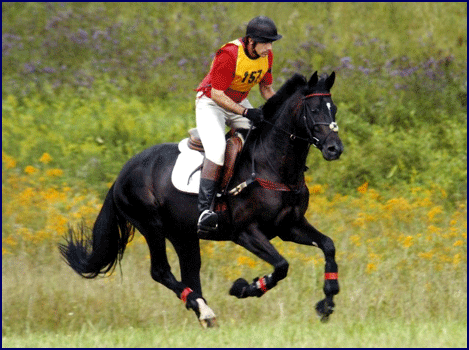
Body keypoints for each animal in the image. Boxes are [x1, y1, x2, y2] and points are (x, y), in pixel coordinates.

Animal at [59, 72, 344, 328]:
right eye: (314, 110)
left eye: (334, 109)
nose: (335, 149)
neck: (272, 165)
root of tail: (122, 174)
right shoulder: (246, 232)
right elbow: (282, 265)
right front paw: (245, 288)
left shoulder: (289, 226)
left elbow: (328, 245)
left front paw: (327, 302)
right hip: (152, 226)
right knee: (160, 271)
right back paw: (204, 310)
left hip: (182, 234)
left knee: (190, 271)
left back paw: (204, 313)